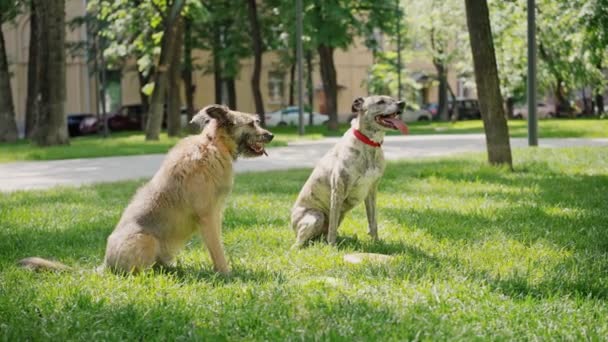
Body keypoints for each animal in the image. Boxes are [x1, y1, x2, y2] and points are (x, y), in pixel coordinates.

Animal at [19, 105, 274, 274]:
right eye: (252, 123)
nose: (271, 135)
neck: (213, 144)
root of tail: (105, 264)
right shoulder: (207, 217)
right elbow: (217, 250)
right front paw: (227, 274)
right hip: (147, 240)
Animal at [290, 95, 408, 247]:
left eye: (393, 98)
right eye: (380, 101)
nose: (402, 103)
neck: (369, 143)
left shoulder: (371, 191)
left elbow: (373, 221)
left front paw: (376, 243)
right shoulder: (338, 192)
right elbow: (332, 227)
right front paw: (332, 247)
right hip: (316, 216)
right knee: (299, 242)